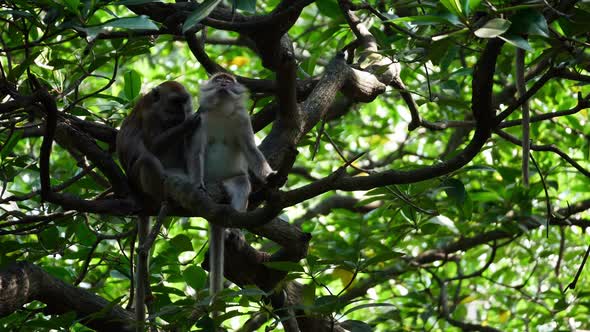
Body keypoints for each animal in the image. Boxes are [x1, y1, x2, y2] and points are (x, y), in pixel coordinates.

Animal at [116, 80, 199, 330]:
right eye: (175, 102)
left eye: (184, 102)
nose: (182, 115)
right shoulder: (151, 117)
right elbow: (153, 145)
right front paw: (190, 123)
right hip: (139, 182)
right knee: (147, 160)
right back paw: (164, 198)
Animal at [187, 72, 278, 308]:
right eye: (218, 80)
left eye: (228, 80)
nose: (223, 83)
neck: (221, 109)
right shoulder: (201, 119)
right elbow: (196, 152)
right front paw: (196, 185)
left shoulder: (243, 119)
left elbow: (250, 150)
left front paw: (269, 176)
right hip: (212, 185)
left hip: (229, 182)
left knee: (241, 184)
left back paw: (234, 230)